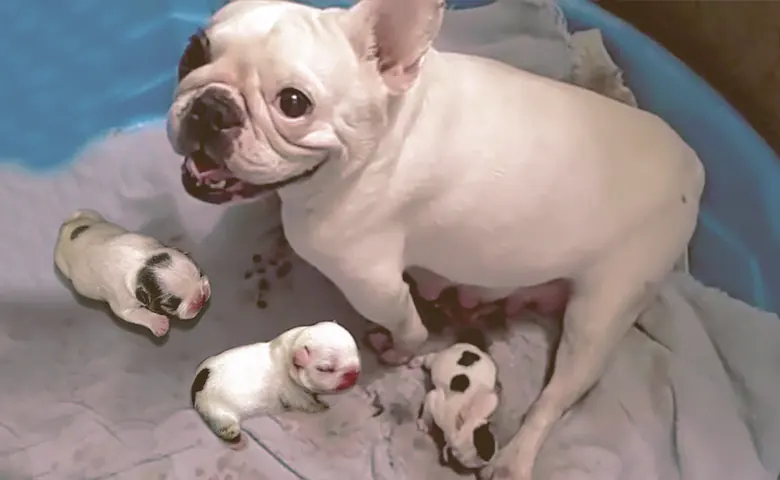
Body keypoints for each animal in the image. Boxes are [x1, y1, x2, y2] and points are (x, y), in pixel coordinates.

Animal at [52, 210, 212, 338]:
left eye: (200, 272)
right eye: (172, 304)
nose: (201, 298)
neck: (141, 264)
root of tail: (67, 228)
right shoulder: (122, 300)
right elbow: (133, 313)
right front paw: (159, 323)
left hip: (93, 215)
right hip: (61, 262)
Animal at [190, 320, 362, 448]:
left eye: (356, 353)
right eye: (326, 369)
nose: (354, 373)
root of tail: (196, 387)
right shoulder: (295, 394)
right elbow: (309, 403)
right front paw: (321, 406)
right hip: (216, 409)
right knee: (223, 423)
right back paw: (233, 434)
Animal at [414, 326, 500, 472]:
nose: (493, 456)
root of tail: (473, 346)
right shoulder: (434, 400)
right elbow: (427, 410)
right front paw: (424, 423)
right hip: (438, 359)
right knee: (429, 358)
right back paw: (415, 361)